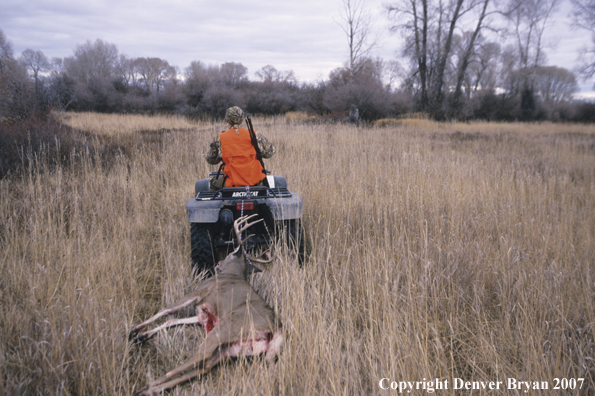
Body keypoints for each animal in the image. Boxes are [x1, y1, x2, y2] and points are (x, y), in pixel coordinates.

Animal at [129, 215, 282, 394]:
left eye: (230, 253)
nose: (219, 263)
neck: (232, 273)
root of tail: (277, 329)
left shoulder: (199, 293)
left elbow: (167, 309)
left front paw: (135, 330)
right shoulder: (204, 313)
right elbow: (173, 320)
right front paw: (142, 335)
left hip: (226, 329)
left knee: (198, 358)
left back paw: (146, 386)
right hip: (235, 348)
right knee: (205, 366)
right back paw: (148, 390)